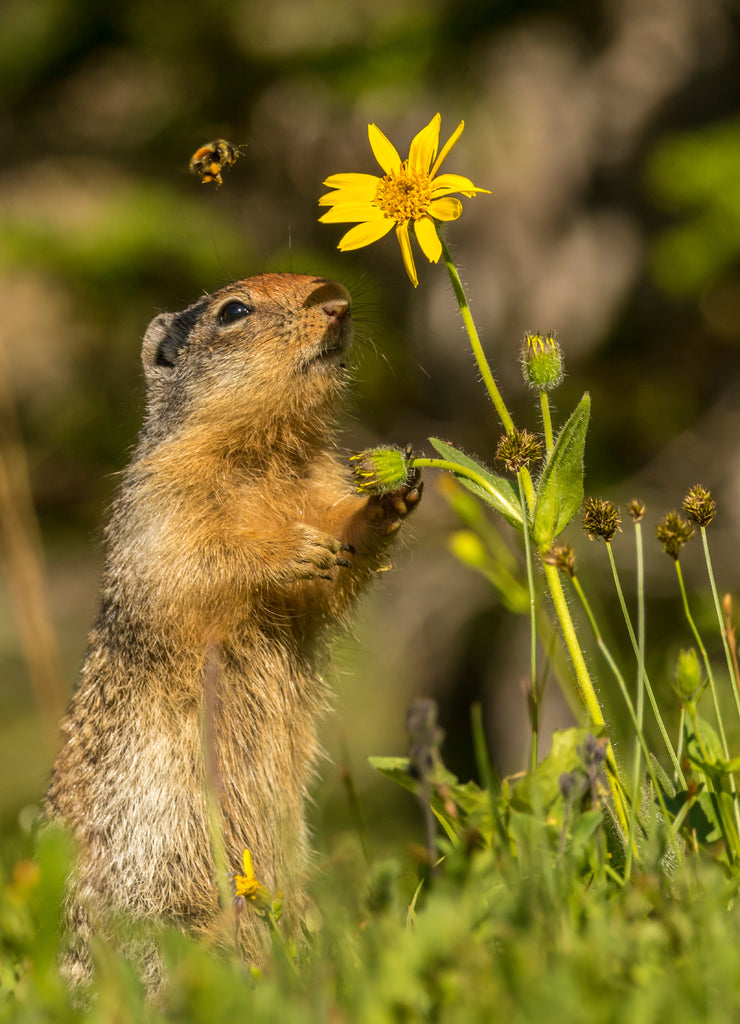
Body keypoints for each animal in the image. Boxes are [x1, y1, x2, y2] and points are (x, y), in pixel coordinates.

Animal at [44, 272, 422, 982]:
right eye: (234, 310)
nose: (337, 299)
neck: (269, 451)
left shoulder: (318, 485)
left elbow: (336, 562)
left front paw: (390, 494)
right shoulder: (162, 504)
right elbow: (201, 562)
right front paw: (290, 551)